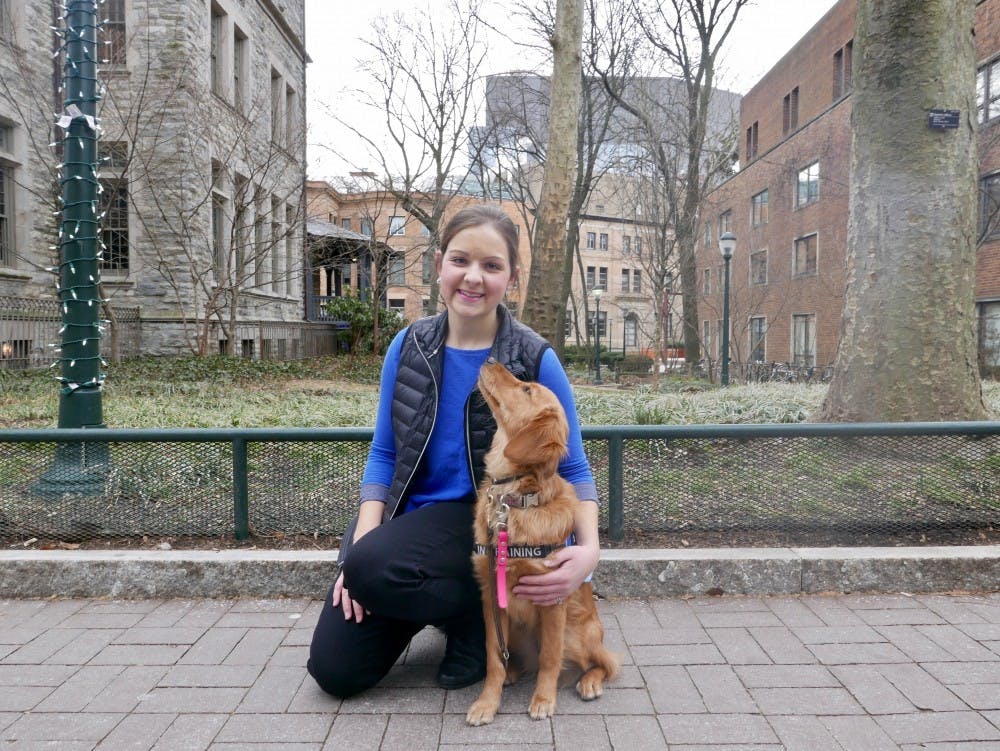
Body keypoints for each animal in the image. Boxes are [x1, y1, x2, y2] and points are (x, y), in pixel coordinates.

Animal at [465, 360, 619, 726]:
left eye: (526, 389)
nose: (489, 359)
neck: (514, 498)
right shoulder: (491, 595)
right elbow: (493, 657)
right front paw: (487, 701)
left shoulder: (553, 599)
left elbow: (550, 657)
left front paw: (544, 699)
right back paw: (513, 673)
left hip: (577, 634)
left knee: (606, 662)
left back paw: (590, 681)